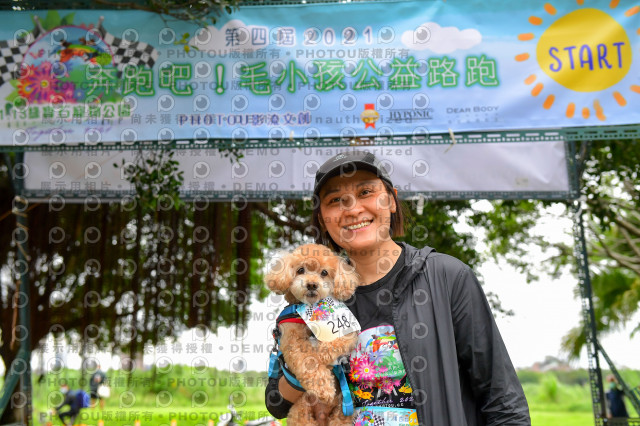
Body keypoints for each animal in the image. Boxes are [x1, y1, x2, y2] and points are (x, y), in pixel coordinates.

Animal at [265, 243, 361, 426]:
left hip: (343, 410)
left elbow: (336, 342)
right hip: (301, 412)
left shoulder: (347, 328)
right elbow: (307, 360)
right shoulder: (291, 339)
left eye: (324, 272)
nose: (311, 285)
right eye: (300, 270)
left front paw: (322, 353)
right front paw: (323, 387)